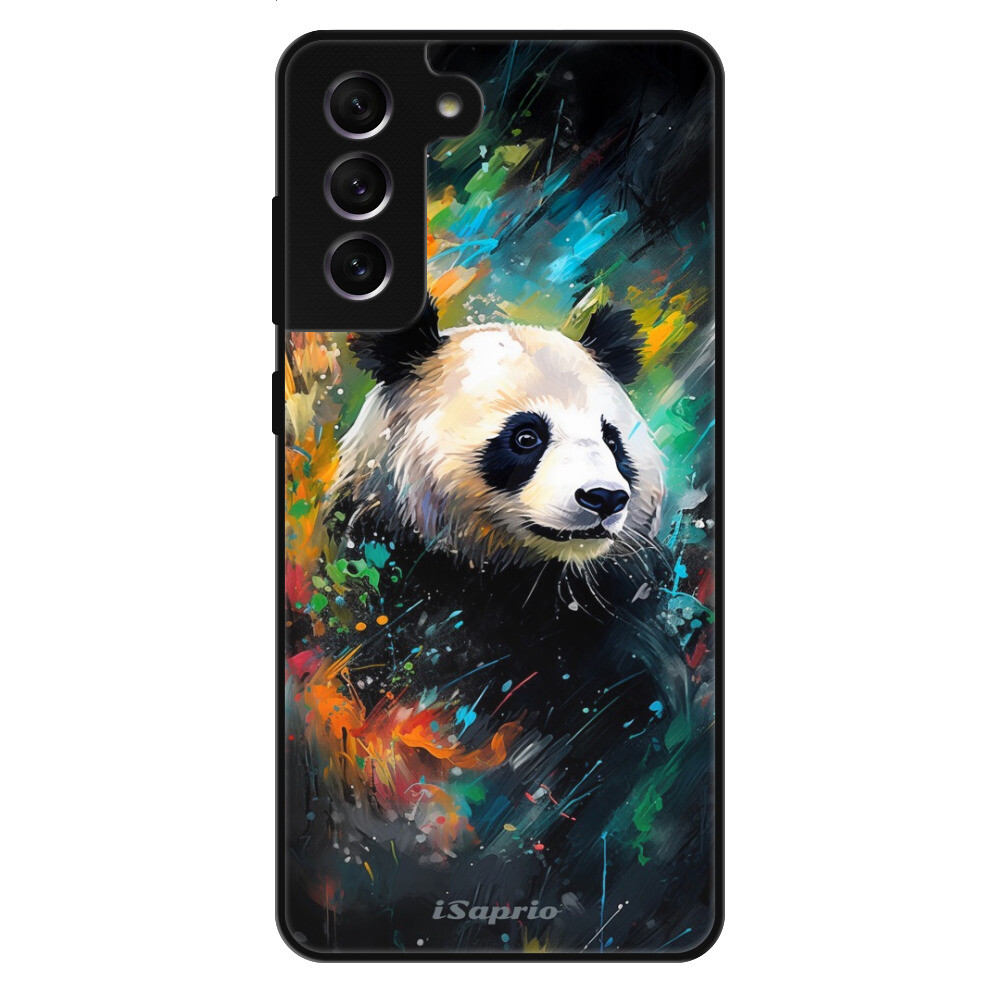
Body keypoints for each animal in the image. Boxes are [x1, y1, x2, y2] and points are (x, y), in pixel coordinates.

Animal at [286, 300, 714, 954]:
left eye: (611, 439)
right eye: (526, 436)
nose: (604, 498)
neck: (519, 581)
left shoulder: (613, 634)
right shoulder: (384, 596)